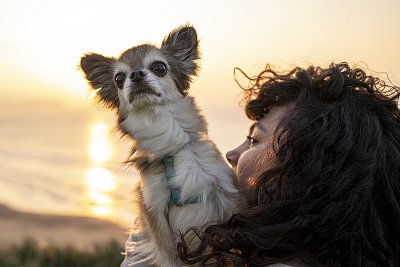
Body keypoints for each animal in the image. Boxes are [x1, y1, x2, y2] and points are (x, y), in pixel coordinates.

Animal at [79, 24, 239, 266]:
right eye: (119, 79)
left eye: (159, 68)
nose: (136, 75)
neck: (167, 141)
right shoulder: (154, 208)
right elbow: (169, 255)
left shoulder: (225, 193)